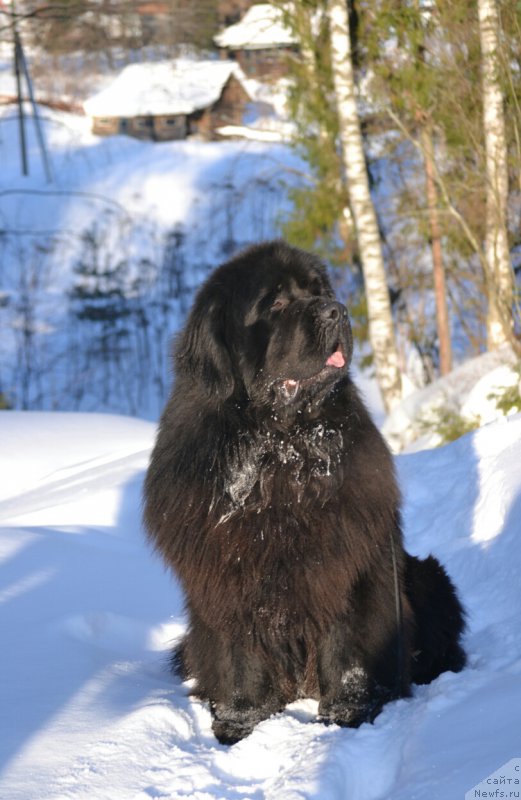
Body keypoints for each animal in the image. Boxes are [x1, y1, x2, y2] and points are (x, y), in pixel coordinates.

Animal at [142, 239, 464, 744]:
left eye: (320, 291)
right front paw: (238, 723)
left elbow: (345, 645)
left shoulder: (345, 565)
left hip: (427, 575)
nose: (337, 310)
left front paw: (346, 715)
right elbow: (240, 656)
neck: (281, 450)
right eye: (274, 303)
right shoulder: (226, 580)